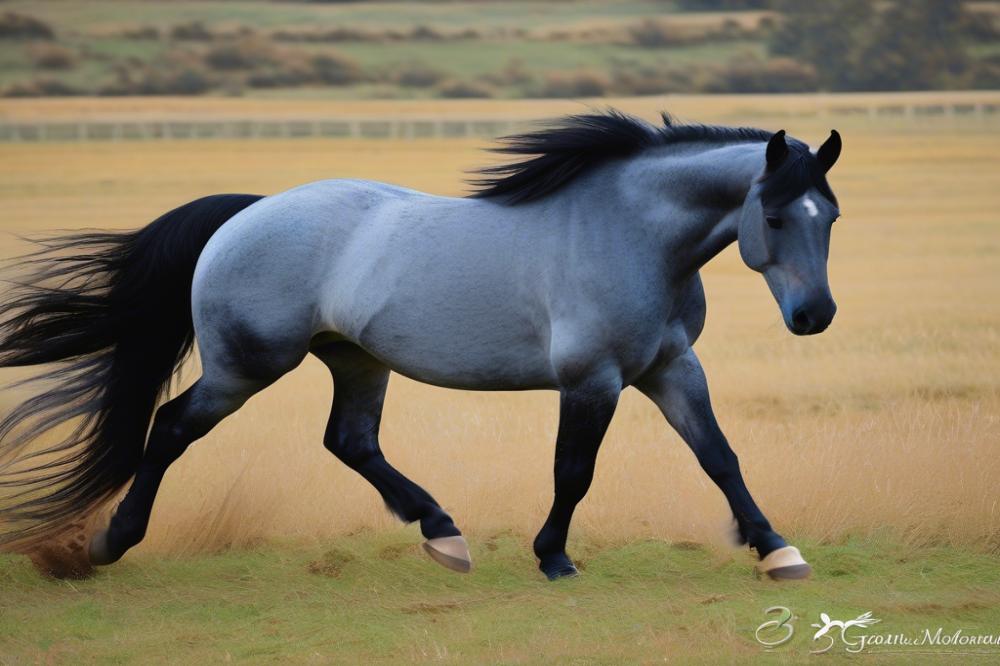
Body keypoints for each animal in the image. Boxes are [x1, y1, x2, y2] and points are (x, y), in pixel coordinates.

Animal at [0, 110, 841, 581]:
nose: (815, 316)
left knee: (350, 441)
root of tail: (248, 213)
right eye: (772, 215)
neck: (630, 235)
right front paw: (553, 556)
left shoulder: (671, 368)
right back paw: (111, 543)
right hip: (245, 367)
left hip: (356, 360)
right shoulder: (591, 380)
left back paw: (444, 534)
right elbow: (573, 472)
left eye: (827, 214)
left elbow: (719, 456)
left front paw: (776, 549)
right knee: (172, 427)